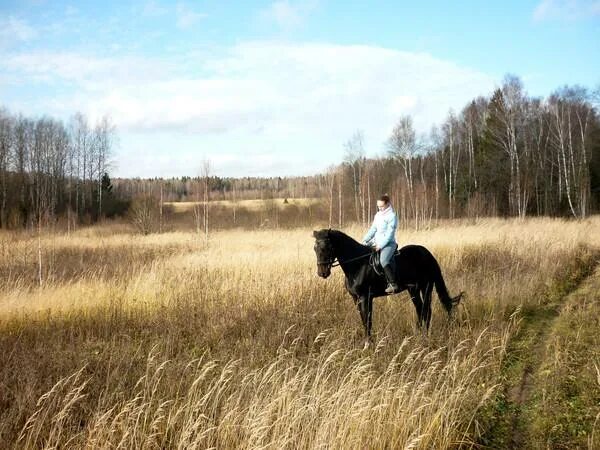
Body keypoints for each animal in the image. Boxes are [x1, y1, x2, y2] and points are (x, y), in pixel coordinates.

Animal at [314, 229, 464, 348]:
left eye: (328, 247)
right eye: (315, 248)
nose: (322, 273)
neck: (357, 265)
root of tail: (427, 254)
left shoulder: (365, 297)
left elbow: (367, 320)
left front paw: (368, 345)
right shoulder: (356, 298)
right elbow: (364, 319)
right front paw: (368, 343)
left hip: (426, 287)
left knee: (426, 311)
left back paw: (424, 337)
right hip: (413, 290)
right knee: (420, 309)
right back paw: (418, 335)